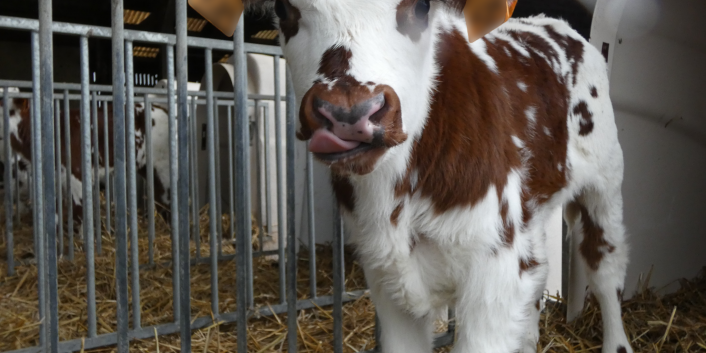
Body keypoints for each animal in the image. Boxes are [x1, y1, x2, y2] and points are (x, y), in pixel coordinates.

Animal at [252, 0, 628, 350]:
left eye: (421, 7)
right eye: (283, 8)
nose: (348, 113)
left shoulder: (496, 267)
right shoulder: (384, 272)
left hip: (604, 183)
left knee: (604, 267)